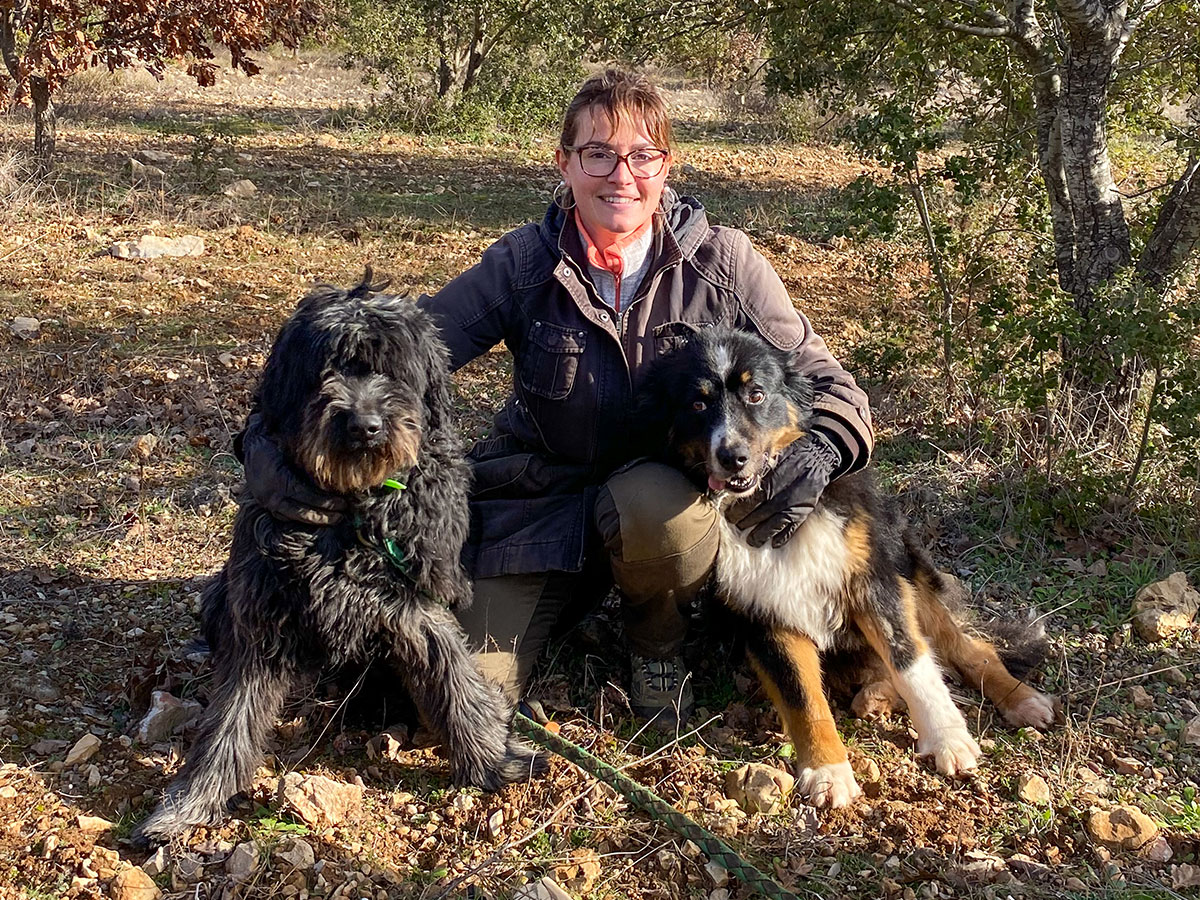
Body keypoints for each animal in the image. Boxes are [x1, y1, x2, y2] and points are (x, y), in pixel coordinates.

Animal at [135, 274, 540, 844]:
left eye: (391, 369)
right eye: (326, 369)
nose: (364, 426)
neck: (353, 506)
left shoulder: (414, 605)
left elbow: (455, 681)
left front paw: (493, 760)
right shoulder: (263, 614)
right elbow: (229, 720)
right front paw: (192, 801)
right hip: (222, 594)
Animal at [643, 328, 1056, 811]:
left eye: (756, 394)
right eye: (697, 404)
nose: (733, 457)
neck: (764, 508)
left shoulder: (873, 582)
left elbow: (912, 662)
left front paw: (947, 738)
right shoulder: (766, 611)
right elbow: (803, 696)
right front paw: (828, 770)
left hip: (910, 568)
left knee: (970, 649)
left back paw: (1020, 699)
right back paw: (875, 697)